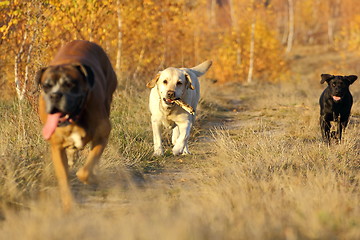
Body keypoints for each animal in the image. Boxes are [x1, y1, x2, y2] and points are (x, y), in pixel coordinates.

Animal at [35, 40, 116, 210]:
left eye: (70, 84)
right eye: (46, 86)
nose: (55, 95)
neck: (74, 120)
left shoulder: (101, 136)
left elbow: (85, 171)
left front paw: (92, 178)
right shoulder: (57, 148)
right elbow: (64, 177)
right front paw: (68, 204)